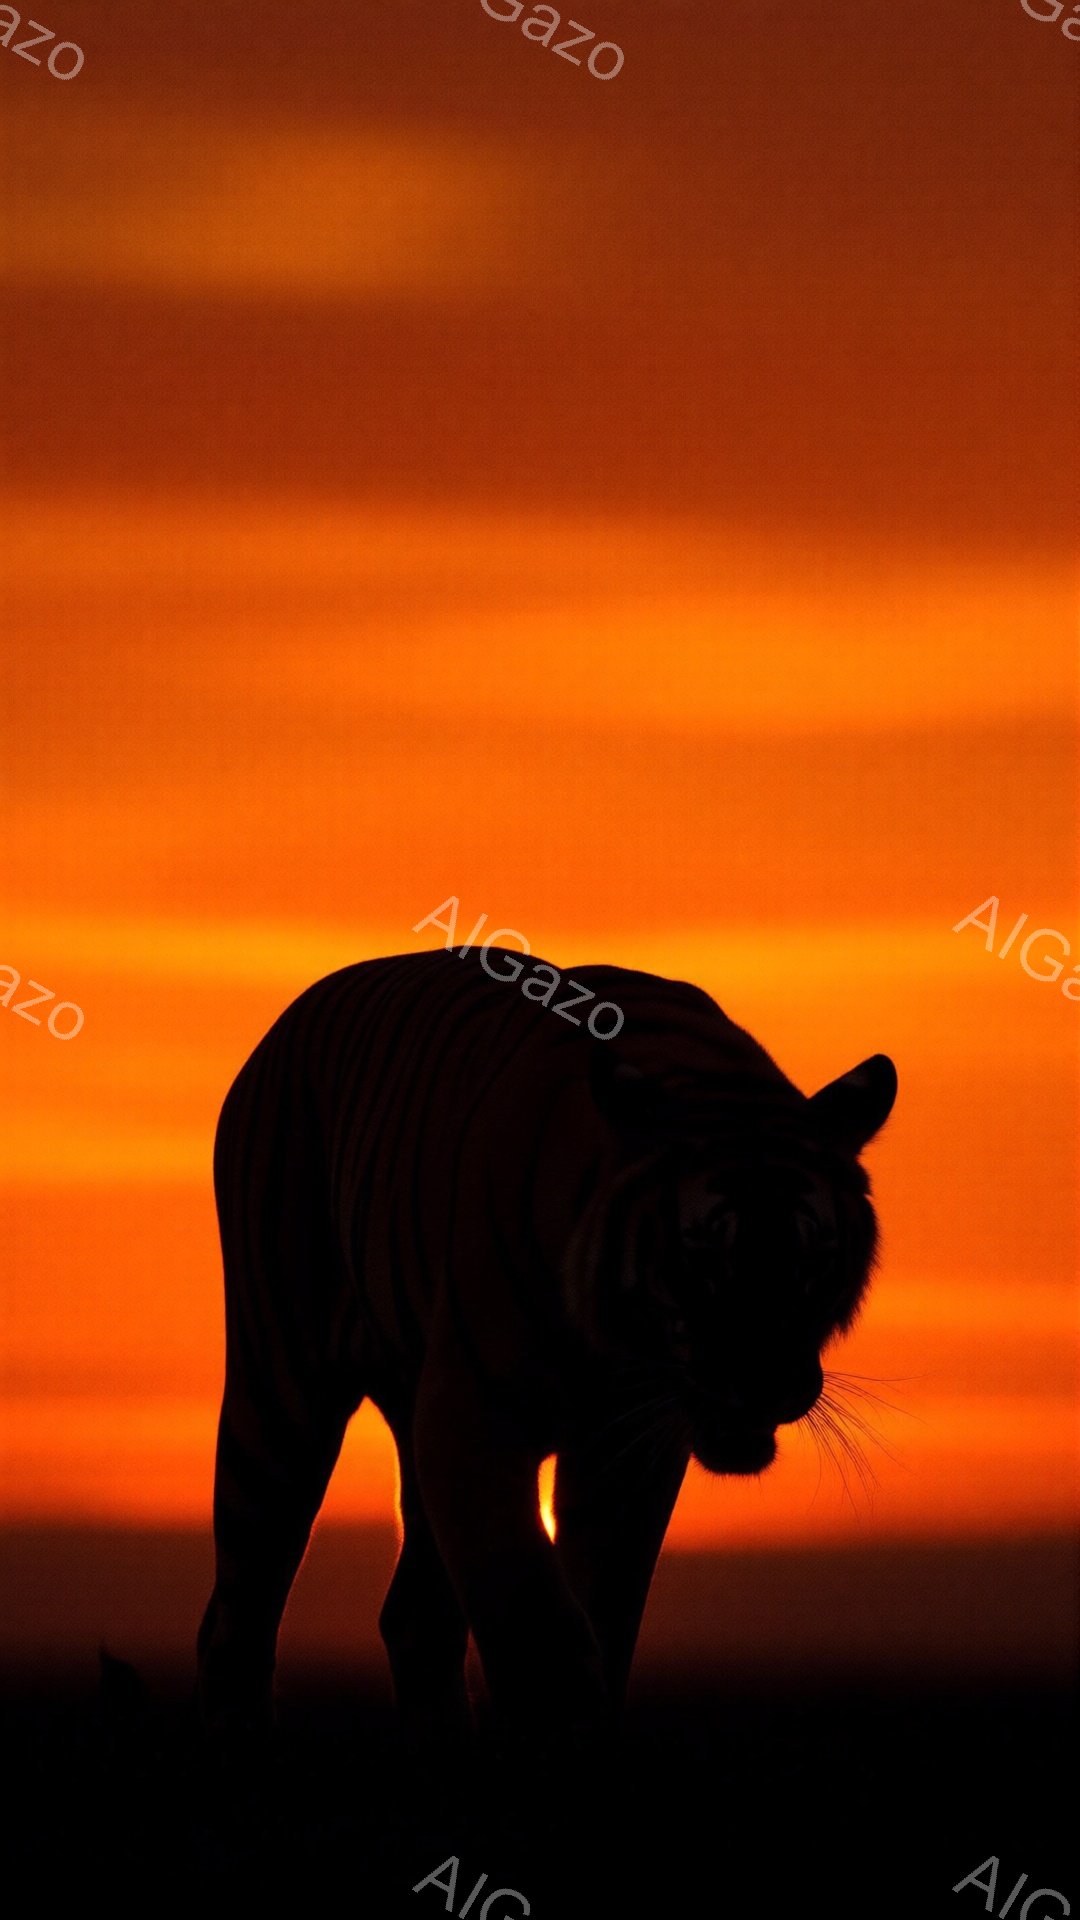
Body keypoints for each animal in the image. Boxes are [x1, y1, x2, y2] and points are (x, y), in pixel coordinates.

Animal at [195, 944, 897, 1744]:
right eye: (703, 1255)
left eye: (813, 1258)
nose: (765, 1381)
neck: (621, 1348)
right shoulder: (473, 1422)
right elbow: (535, 1623)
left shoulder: (625, 1453)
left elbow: (603, 1613)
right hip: (280, 1399)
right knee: (237, 1617)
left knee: (415, 1618)